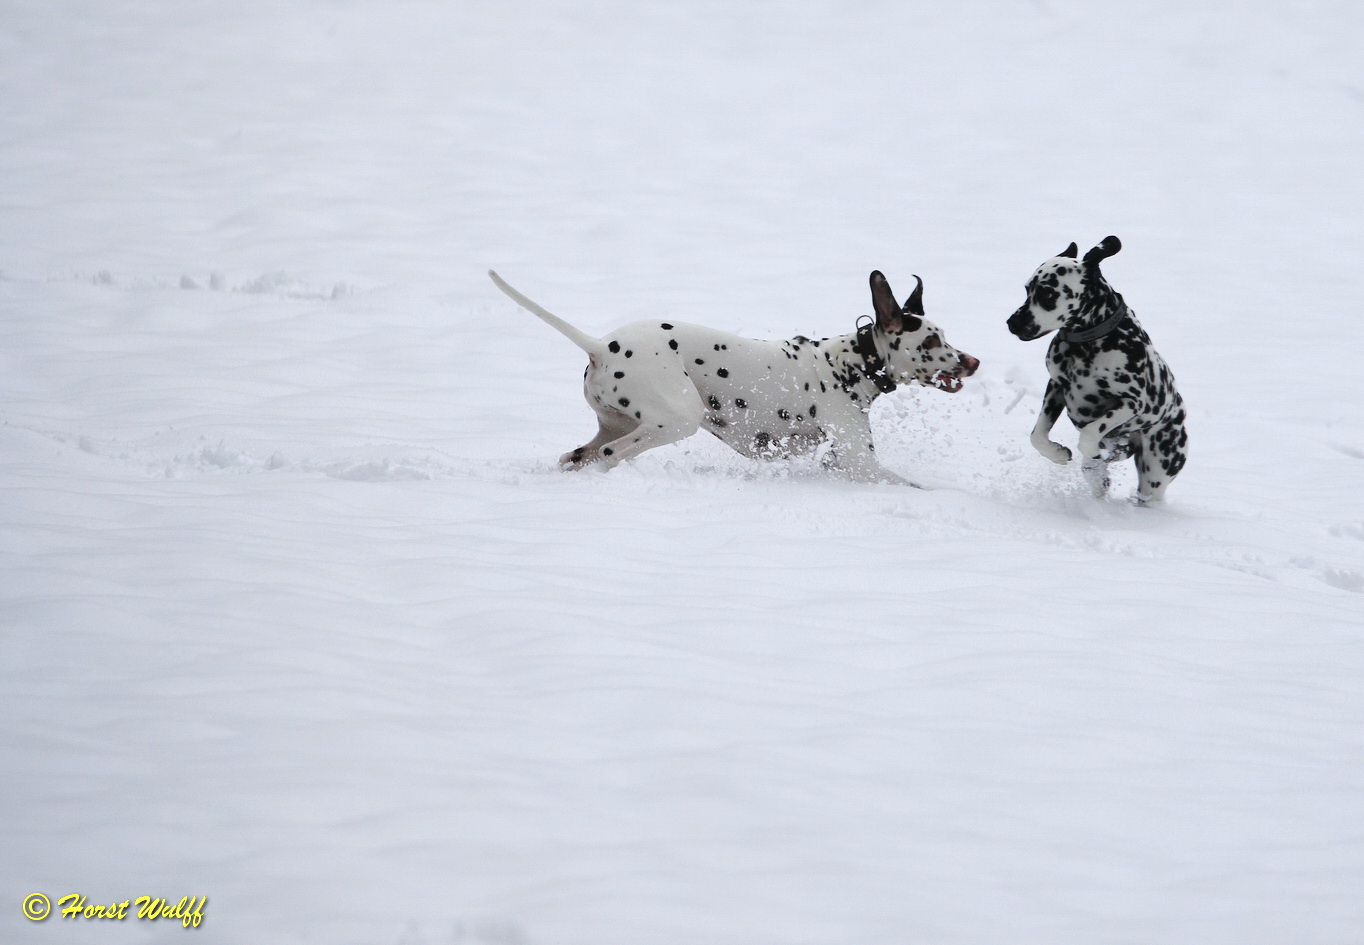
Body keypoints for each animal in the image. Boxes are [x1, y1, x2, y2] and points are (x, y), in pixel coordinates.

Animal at [491, 267, 982, 482]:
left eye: (943, 335)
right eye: (931, 342)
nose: (973, 361)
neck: (849, 362)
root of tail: (599, 345)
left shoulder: (839, 460)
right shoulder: (861, 463)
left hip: (613, 426)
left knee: (578, 456)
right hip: (677, 420)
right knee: (613, 455)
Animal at [1009, 234, 1189, 501]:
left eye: (1048, 294)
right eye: (1027, 289)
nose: (1012, 323)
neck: (1087, 345)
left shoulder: (1132, 403)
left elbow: (1089, 435)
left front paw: (1097, 449)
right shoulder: (1056, 387)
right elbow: (1037, 436)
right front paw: (1058, 453)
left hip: (1157, 472)